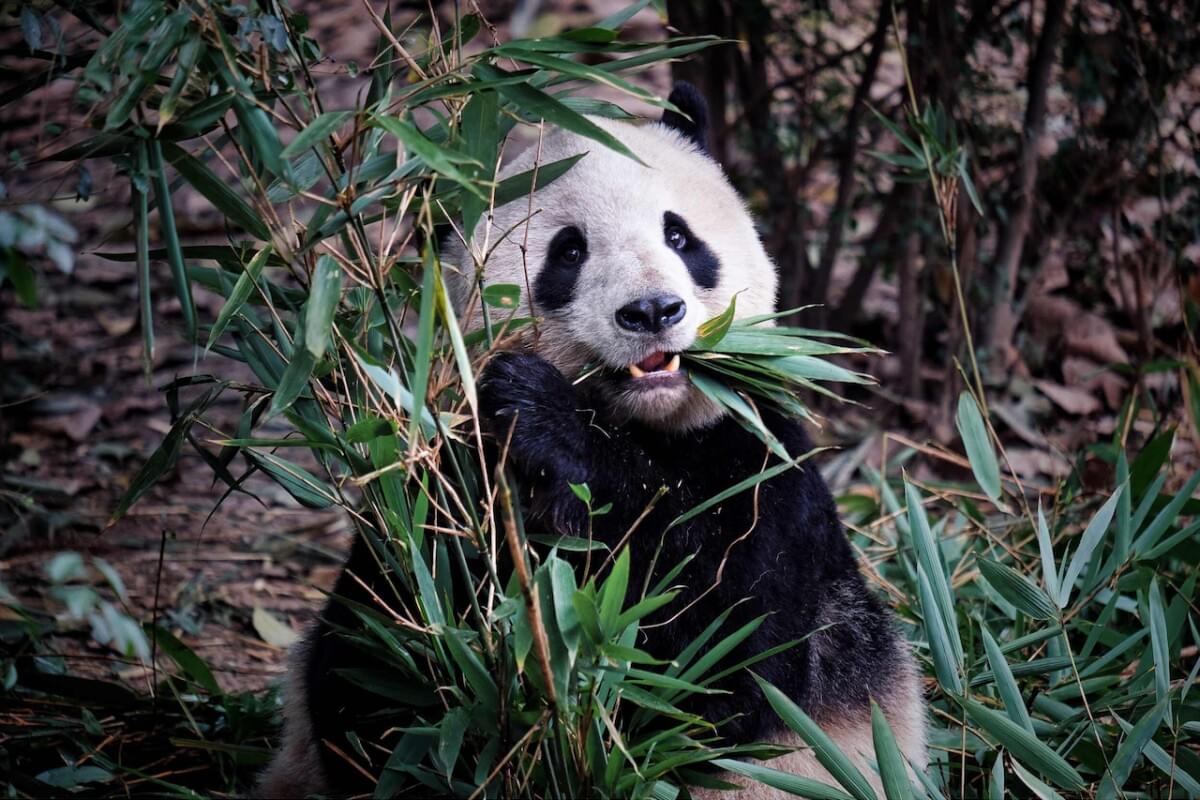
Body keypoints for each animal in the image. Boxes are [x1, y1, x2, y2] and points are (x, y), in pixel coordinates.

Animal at [258, 82, 921, 800]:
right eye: (569, 251)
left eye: (679, 235)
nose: (652, 311)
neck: (646, 423)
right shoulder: (445, 487)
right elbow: (379, 660)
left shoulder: (763, 474)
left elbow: (716, 665)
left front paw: (546, 415)